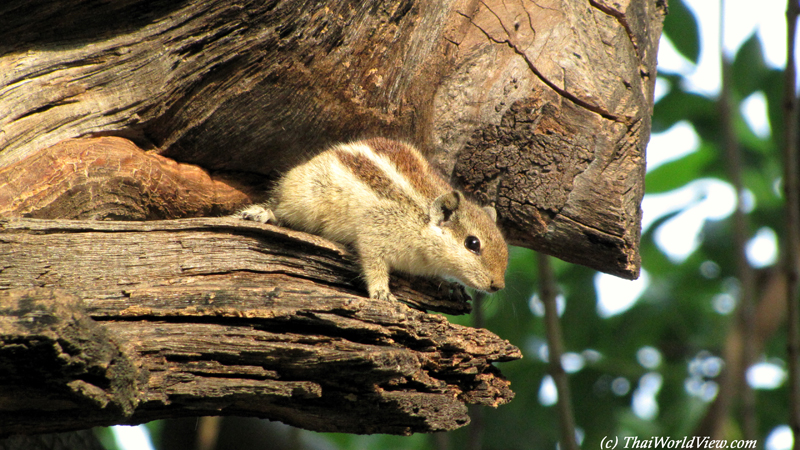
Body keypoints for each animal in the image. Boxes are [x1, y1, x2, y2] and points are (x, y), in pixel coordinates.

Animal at [238, 138, 510, 302]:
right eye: (472, 244)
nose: (498, 285)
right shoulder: (376, 232)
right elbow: (373, 264)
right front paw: (382, 293)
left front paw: (448, 284)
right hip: (303, 200)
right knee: (279, 207)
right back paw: (265, 214)